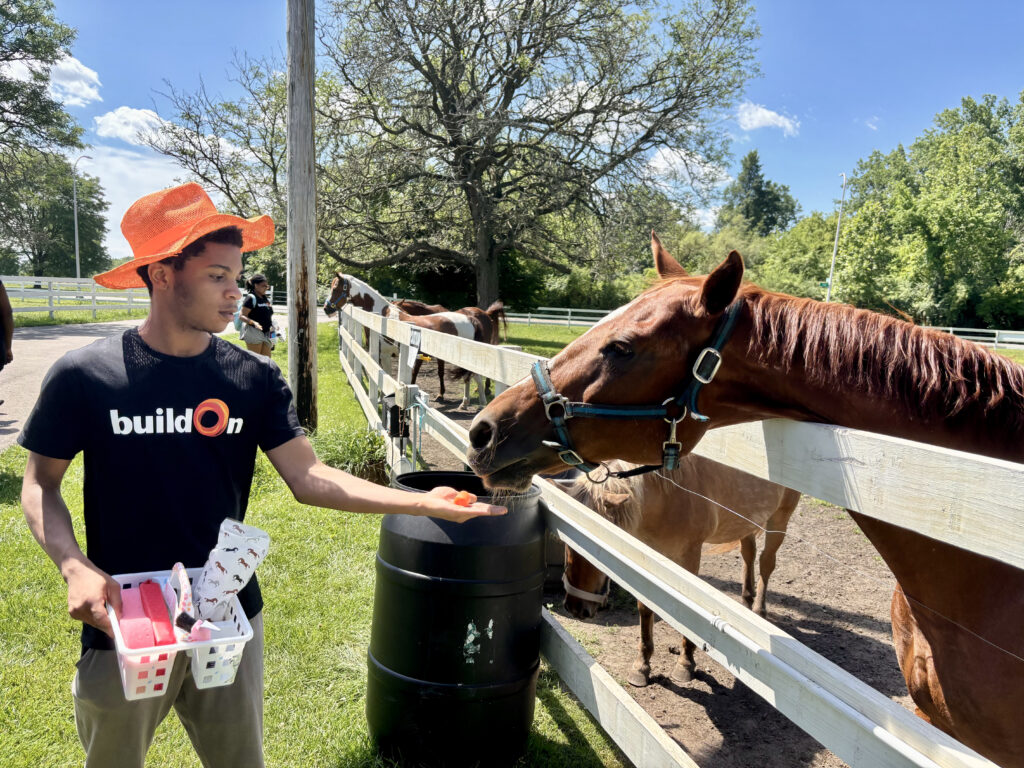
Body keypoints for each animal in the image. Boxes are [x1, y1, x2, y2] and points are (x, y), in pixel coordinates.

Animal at [323, 273, 504, 407]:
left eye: (336, 288)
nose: (326, 308)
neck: (383, 318)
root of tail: (471, 319)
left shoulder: (385, 355)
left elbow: (385, 376)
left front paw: (381, 399)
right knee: (471, 377)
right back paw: (467, 403)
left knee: (474, 377)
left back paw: (478, 403)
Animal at [558, 456, 799, 687]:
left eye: (597, 538)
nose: (575, 608)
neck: (668, 496)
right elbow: (645, 607)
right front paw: (642, 666)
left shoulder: (689, 557)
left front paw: (685, 663)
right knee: (748, 552)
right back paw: (747, 601)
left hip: (780, 518)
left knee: (766, 562)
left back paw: (758, 610)